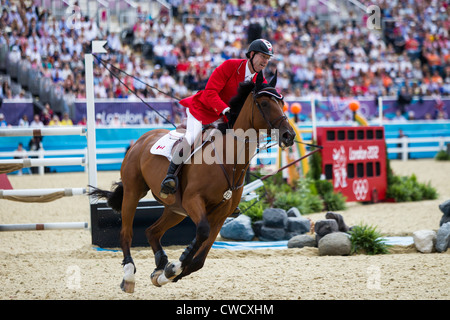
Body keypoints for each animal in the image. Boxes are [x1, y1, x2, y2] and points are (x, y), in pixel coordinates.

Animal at [89, 70, 298, 292]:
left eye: (282, 103)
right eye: (264, 103)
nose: (289, 135)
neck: (228, 159)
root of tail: (141, 139)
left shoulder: (220, 215)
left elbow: (199, 259)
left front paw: (168, 272)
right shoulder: (193, 200)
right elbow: (202, 232)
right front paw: (175, 265)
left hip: (175, 209)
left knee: (152, 231)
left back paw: (160, 265)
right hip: (133, 192)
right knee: (126, 233)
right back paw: (129, 276)